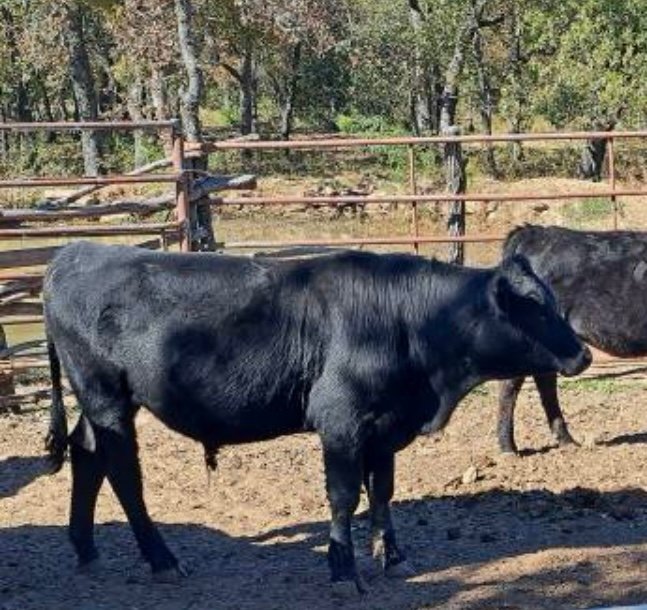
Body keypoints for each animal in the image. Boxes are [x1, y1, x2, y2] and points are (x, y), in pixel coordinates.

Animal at [43, 242, 590, 591]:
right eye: (535, 306)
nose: (583, 354)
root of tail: (75, 252)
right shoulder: (341, 422)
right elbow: (345, 496)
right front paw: (343, 570)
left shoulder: (384, 427)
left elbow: (382, 492)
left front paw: (392, 557)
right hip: (106, 397)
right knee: (123, 473)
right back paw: (161, 560)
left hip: (102, 402)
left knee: (87, 455)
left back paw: (85, 548)